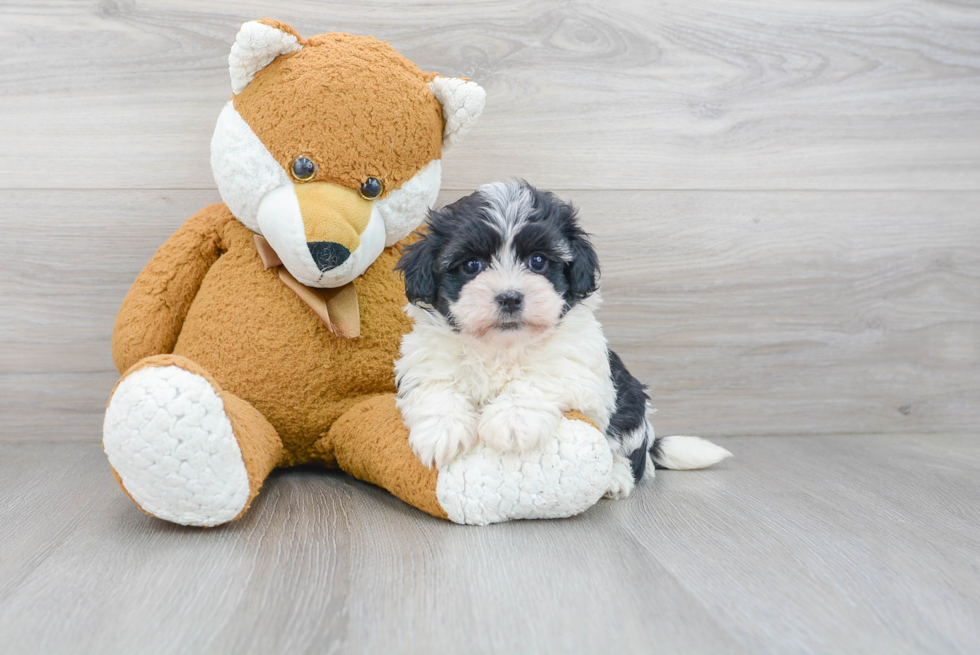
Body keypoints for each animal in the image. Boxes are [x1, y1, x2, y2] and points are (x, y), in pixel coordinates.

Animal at [396, 179, 728, 498]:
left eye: (538, 261)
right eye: (471, 265)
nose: (509, 297)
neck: (503, 347)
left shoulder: (578, 365)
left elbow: (539, 378)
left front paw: (512, 420)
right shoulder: (426, 361)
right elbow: (438, 388)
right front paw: (442, 431)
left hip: (632, 404)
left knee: (631, 454)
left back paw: (616, 477)